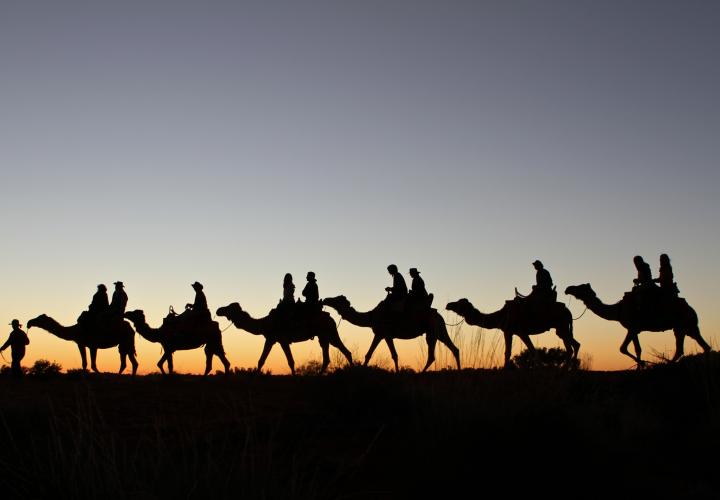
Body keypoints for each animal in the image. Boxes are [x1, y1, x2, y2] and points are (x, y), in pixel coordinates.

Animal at [215, 300, 352, 376]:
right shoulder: (272, 339)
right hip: (324, 336)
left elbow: (289, 361)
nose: (218, 310)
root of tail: (331, 319)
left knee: (345, 351)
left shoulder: (279, 339)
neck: (265, 323)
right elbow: (262, 360)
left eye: (229, 308)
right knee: (330, 356)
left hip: (330, 333)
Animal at [322, 296, 462, 372]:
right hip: (440, 330)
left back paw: (421, 373)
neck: (370, 317)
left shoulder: (384, 334)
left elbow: (392, 355)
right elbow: (370, 354)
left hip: (432, 331)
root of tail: (439, 316)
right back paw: (459, 372)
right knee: (454, 349)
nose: (325, 299)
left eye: (337, 299)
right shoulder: (381, 334)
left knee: (432, 355)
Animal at [444, 296, 580, 368]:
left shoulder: (513, 331)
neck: (500, 316)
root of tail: (568, 311)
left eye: (459, 303)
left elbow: (509, 352)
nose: (448, 305)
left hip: (562, 325)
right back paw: (570, 368)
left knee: (571, 347)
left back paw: (566, 369)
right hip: (562, 328)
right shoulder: (517, 332)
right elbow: (531, 350)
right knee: (575, 344)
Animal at [564, 284, 712, 366]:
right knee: (701, 346)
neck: (617, 310)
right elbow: (637, 349)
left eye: (580, 287)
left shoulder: (632, 327)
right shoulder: (634, 329)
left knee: (687, 348)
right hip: (686, 327)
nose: (568, 289)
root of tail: (691, 309)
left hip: (684, 324)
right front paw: (641, 366)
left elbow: (623, 348)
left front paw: (642, 365)